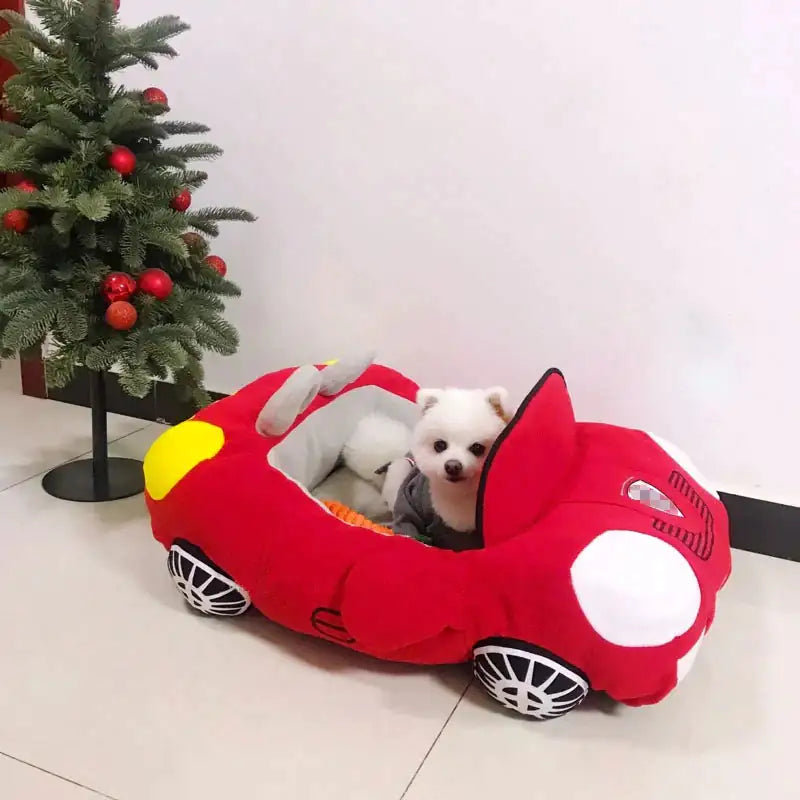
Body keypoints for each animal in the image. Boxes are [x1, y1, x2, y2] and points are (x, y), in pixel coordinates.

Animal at [386, 386, 512, 548]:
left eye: (477, 448)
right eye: (440, 445)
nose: (452, 466)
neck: (457, 493)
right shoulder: (412, 495)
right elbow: (407, 520)